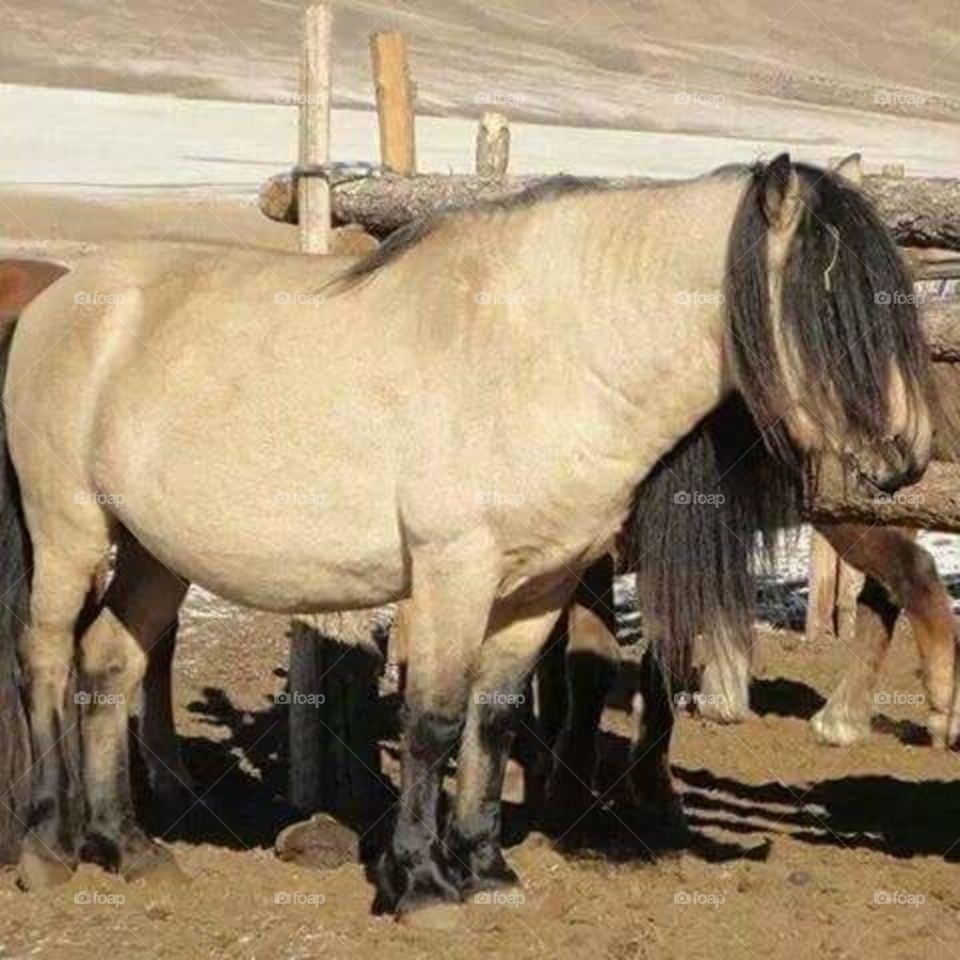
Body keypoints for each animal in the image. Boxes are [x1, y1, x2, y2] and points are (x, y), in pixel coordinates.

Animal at [0, 155, 930, 917]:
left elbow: (495, 716)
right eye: (828, 300)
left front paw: (484, 869)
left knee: (108, 666)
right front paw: (418, 883)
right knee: (45, 656)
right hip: (71, 528)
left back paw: (128, 847)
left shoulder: (542, 583)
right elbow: (434, 720)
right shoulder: (454, 570)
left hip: (154, 554)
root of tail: (59, 300)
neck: (546, 352)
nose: (908, 456)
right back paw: (48, 849)